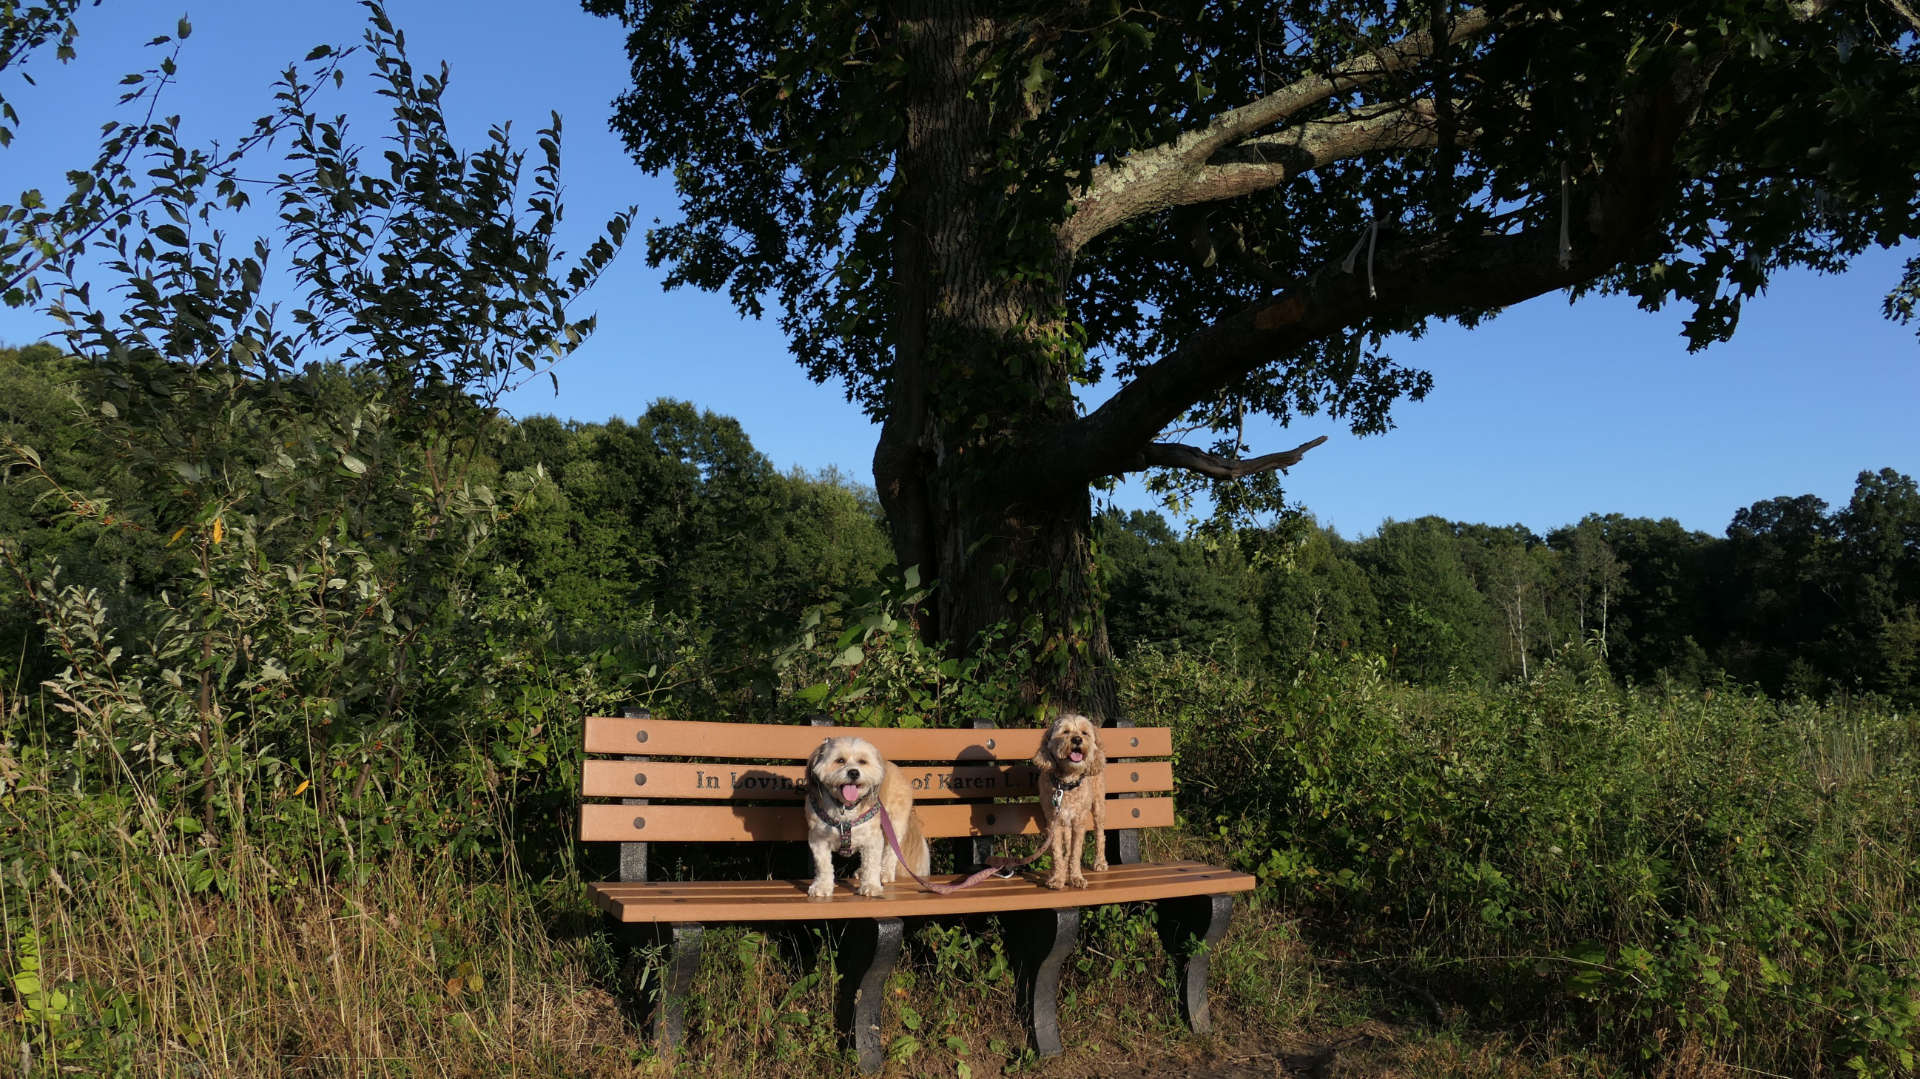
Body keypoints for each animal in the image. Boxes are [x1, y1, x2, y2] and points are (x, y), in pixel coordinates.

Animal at [802, 729, 929, 898]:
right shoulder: (819, 839)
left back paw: (885, 873)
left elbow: (872, 863)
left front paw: (871, 886)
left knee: (890, 852)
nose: (854, 772)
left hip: (895, 824)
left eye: (862, 761)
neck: (846, 809)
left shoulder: (873, 838)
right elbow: (823, 865)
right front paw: (822, 886)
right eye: (840, 760)